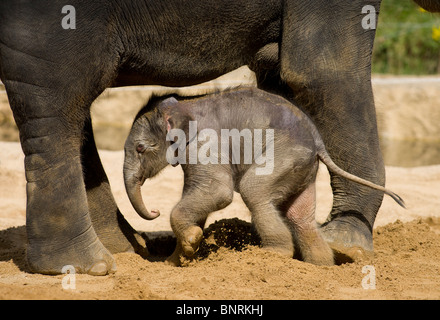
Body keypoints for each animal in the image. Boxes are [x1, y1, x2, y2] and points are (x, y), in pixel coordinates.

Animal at [124, 87, 406, 264]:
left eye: (140, 148)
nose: (154, 212)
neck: (185, 104)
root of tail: (318, 142)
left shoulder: (206, 144)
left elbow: (218, 191)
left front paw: (191, 241)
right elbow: (200, 194)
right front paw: (177, 259)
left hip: (283, 157)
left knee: (255, 192)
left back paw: (272, 255)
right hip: (302, 170)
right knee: (300, 217)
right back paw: (321, 266)